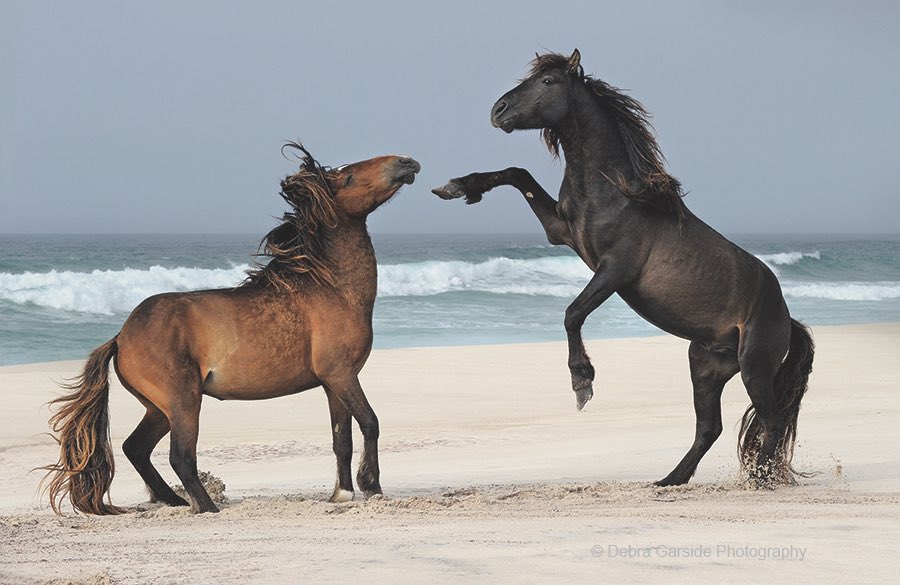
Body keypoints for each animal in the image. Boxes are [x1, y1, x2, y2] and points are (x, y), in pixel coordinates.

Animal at [43, 143, 421, 514]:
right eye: (348, 177)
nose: (407, 162)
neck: (330, 289)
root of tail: (121, 338)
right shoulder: (341, 374)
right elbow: (370, 423)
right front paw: (371, 486)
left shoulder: (332, 384)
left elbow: (342, 439)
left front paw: (341, 494)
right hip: (183, 402)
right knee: (180, 456)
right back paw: (207, 507)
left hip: (158, 410)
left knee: (136, 448)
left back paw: (174, 501)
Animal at [433, 49, 813, 487]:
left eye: (548, 82)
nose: (499, 111)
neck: (613, 192)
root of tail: (788, 317)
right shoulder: (560, 232)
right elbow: (517, 173)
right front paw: (458, 187)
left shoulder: (614, 270)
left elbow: (572, 313)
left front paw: (582, 383)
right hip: (705, 366)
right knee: (710, 427)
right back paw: (670, 480)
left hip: (755, 367)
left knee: (772, 419)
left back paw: (759, 479)